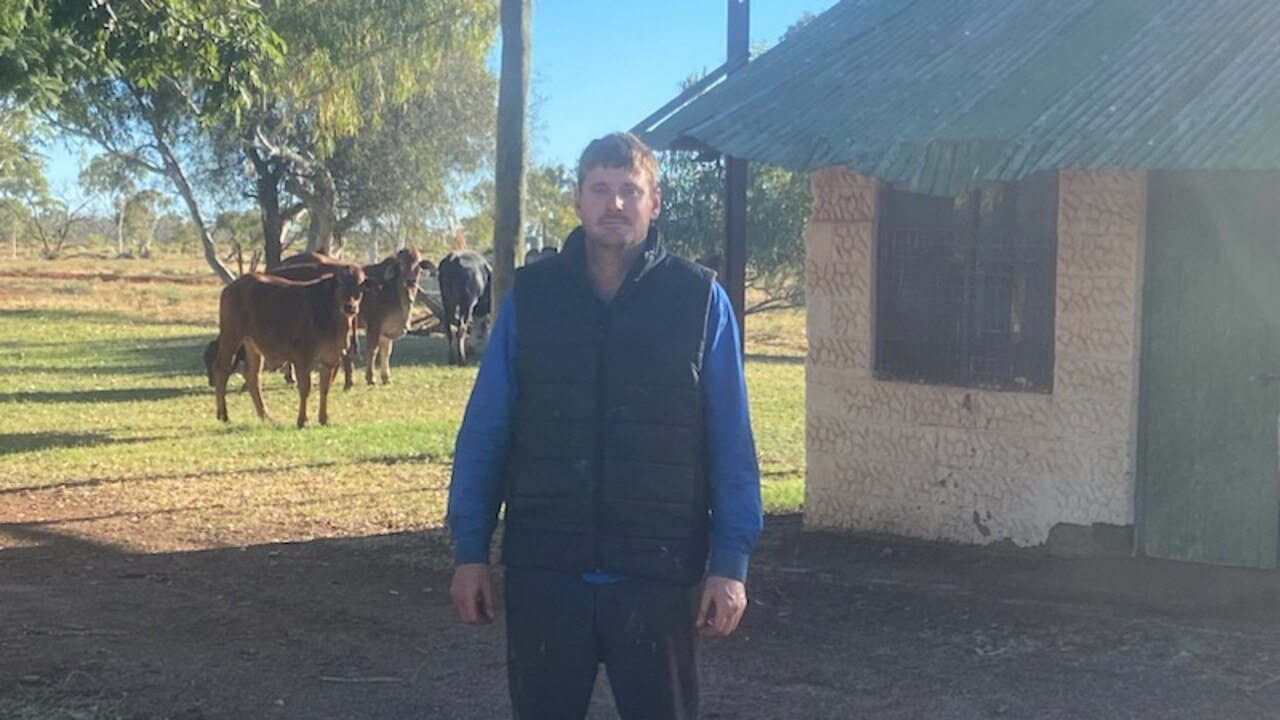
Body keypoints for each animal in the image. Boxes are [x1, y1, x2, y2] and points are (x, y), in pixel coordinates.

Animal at [211, 265, 373, 425]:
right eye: (339, 283)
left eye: (360, 285)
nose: (349, 307)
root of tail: (233, 286)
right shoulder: (303, 357)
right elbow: (305, 388)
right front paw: (302, 420)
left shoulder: (330, 358)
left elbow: (325, 388)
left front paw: (324, 418)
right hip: (231, 337)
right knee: (222, 370)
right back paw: (223, 414)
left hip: (252, 345)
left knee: (252, 376)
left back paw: (265, 416)